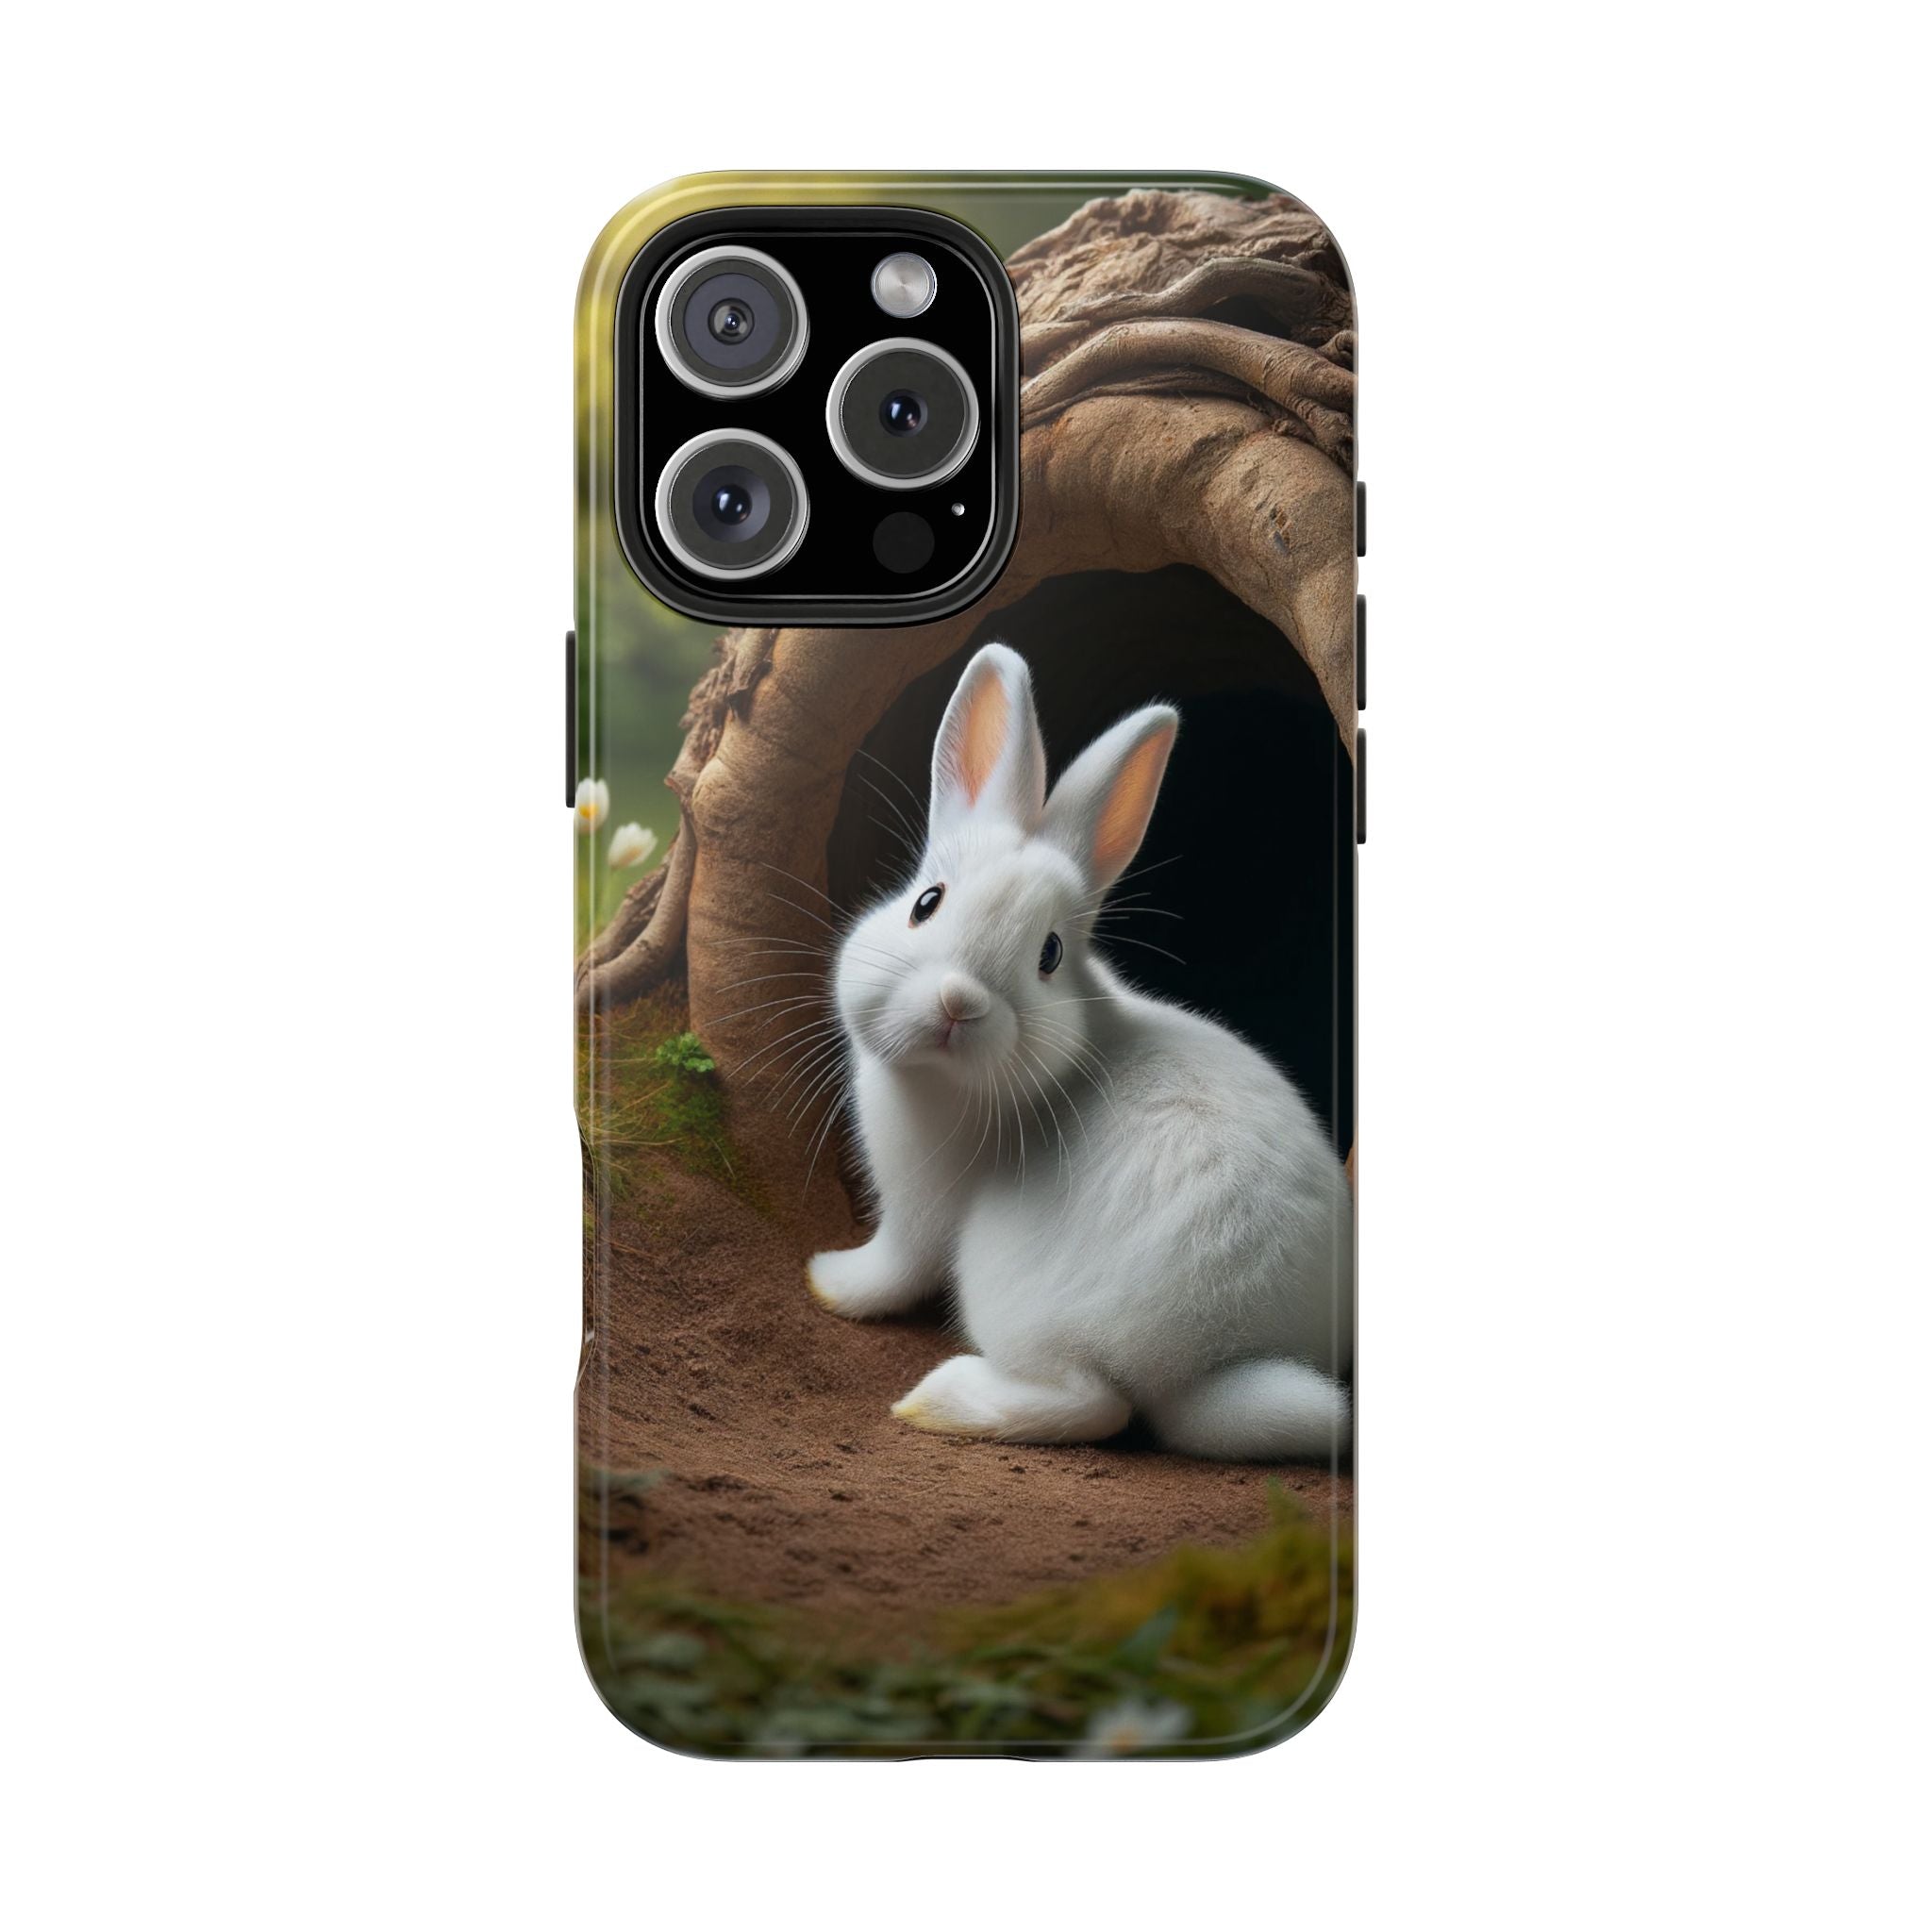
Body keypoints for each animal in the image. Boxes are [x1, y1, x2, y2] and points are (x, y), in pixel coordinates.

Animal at [806, 642, 1353, 1460]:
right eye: (926, 904)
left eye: (1050, 955)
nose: (958, 1002)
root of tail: (1207, 1363)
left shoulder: (918, 1210)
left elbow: (893, 1270)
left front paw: (828, 1278)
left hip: (1009, 1288)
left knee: (1093, 1405)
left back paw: (936, 1401)